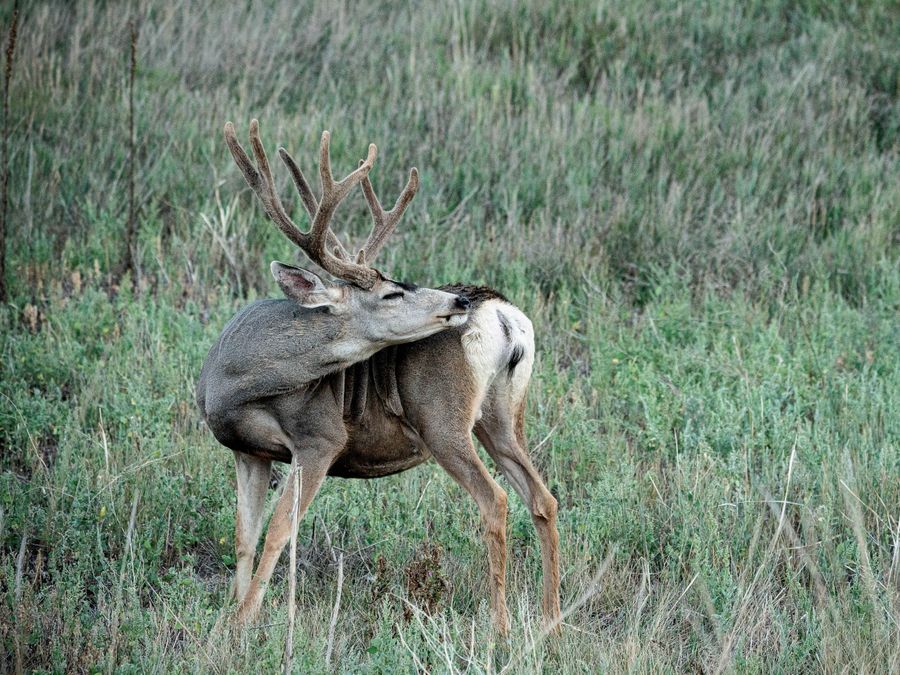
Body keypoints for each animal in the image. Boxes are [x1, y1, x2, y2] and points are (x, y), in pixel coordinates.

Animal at [196, 120, 561, 635]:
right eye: (391, 293)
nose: (458, 302)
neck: (238, 382)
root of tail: (503, 314)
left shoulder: (320, 437)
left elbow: (279, 529)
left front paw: (245, 619)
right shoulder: (247, 450)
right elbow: (244, 535)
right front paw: (230, 613)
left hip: (442, 420)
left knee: (496, 501)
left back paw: (501, 628)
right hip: (503, 417)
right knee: (542, 498)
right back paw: (551, 621)